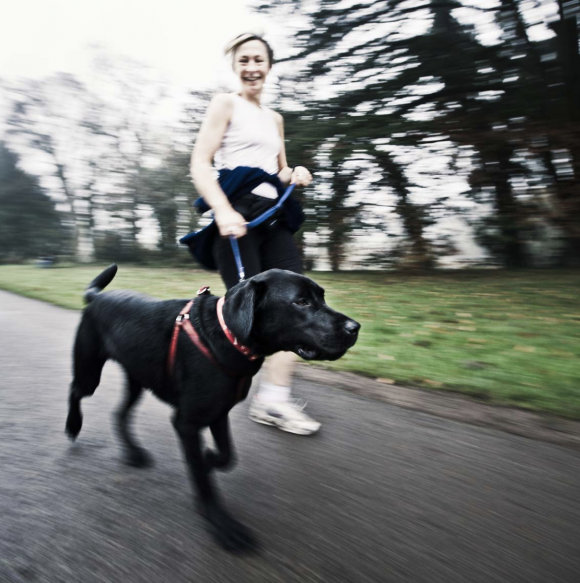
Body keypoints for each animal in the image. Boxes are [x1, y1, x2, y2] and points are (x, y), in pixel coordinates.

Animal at [65, 266, 360, 556]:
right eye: (301, 302)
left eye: (322, 297)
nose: (355, 327)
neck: (229, 336)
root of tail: (96, 297)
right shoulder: (187, 423)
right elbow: (204, 481)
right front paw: (222, 525)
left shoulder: (219, 413)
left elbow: (227, 456)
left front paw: (208, 460)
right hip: (90, 373)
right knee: (75, 391)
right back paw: (73, 426)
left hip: (137, 380)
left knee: (119, 414)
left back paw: (132, 452)